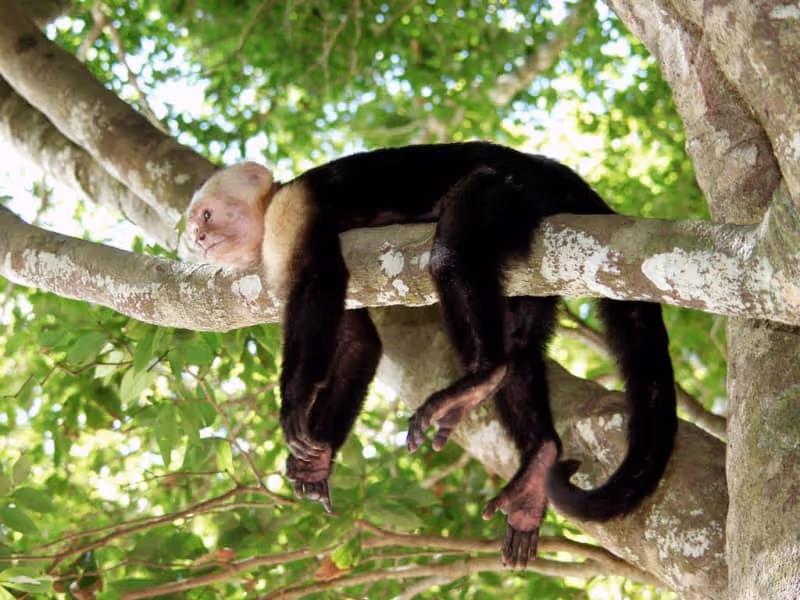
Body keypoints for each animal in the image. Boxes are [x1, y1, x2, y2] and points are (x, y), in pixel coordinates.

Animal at [185, 141, 677, 568]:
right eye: (194, 228)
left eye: (207, 214)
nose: (201, 237)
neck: (268, 211)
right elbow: (359, 345)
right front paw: (316, 460)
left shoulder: (290, 213)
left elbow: (319, 281)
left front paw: (295, 398)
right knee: (519, 346)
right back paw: (538, 460)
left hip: (518, 190)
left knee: (452, 252)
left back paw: (481, 374)